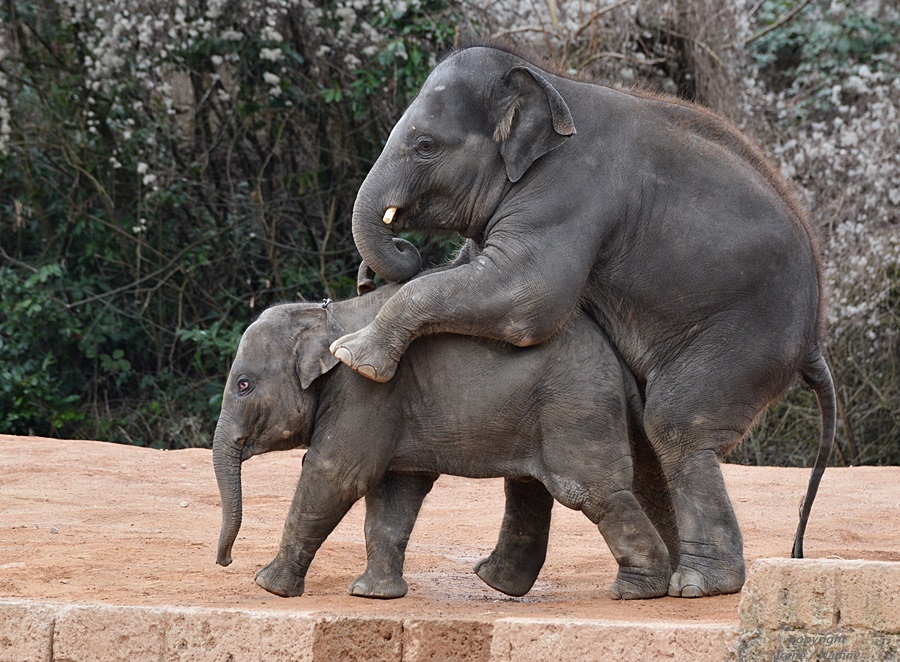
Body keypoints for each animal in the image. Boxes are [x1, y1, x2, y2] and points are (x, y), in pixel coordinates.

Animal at [214, 286, 672, 600]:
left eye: (243, 384)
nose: (225, 561)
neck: (325, 314)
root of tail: (617, 358)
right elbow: (395, 491)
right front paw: (374, 594)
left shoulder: (365, 390)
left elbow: (337, 474)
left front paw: (268, 585)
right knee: (530, 487)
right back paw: (497, 581)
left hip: (576, 405)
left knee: (588, 491)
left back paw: (635, 590)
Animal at [330, 42, 836, 600]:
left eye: (425, 146)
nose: (385, 260)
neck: (547, 82)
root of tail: (814, 336)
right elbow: (482, 270)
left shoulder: (568, 191)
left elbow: (528, 294)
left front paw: (354, 357)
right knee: (649, 436)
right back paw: (666, 575)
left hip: (744, 338)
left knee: (675, 424)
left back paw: (698, 583)